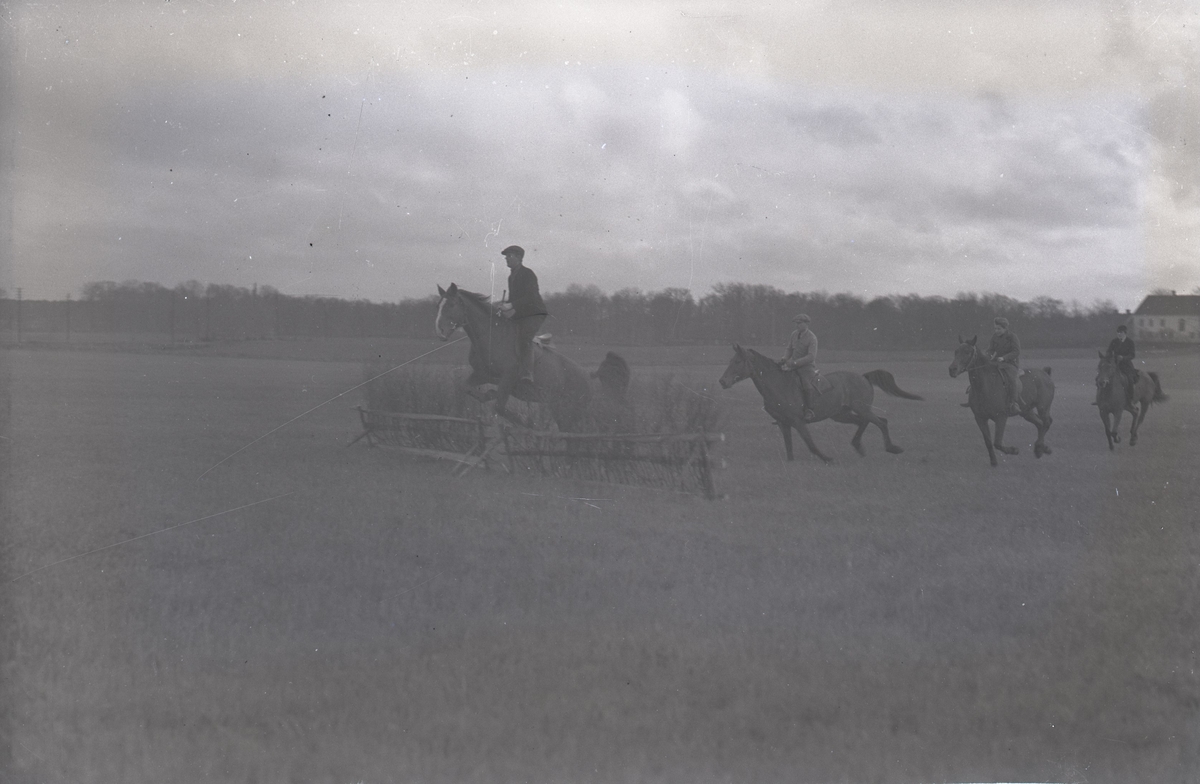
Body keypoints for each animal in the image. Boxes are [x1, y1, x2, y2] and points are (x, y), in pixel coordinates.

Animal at [435, 283, 592, 431]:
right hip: (558, 408)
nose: (439, 332)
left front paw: (527, 423)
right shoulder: (482, 374)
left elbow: (499, 406)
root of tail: (589, 377)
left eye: (451, 304)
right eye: (439, 305)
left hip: (568, 409)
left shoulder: (508, 377)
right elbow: (465, 387)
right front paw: (489, 394)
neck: (492, 336)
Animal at [717, 345, 923, 464]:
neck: (778, 385)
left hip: (861, 408)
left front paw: (827, 459)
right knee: (863, 422)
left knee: (881, 421)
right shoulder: (784, 424)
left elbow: (810, 444)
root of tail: (863, 377)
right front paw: (791, 464)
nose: (722, 382)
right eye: (731, 360)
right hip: (841, 414)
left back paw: (892, 448)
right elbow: (789, 447)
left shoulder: (798, 422)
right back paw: (858, 446)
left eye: (738, 361)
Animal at [948, 335, 1055, 466]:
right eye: (956, 351)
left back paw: (1041, 448)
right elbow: (988, 442)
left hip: (1043, 408)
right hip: (1026, 412)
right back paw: (1041, 448)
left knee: (1046, 422)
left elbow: (997, 442)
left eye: (967, 352)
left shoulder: (1001, 417)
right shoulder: (980, 418)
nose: (952, 369)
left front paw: (1014, 450)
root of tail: (1045, 373)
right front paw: (993, 462)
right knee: (1040, 424)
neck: (985, 386)